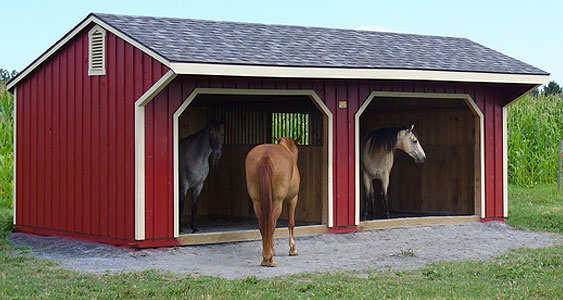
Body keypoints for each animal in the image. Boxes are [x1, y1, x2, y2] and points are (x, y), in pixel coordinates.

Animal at [245, 137, 302, 266]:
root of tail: (265, 156)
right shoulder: (293, 198)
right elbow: (291, 222)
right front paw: (293, 249)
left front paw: (272, 248)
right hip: (278, 201)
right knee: (271, 223)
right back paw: (268, 258)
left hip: (257, 202)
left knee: (263, 223)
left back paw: (266, 255)